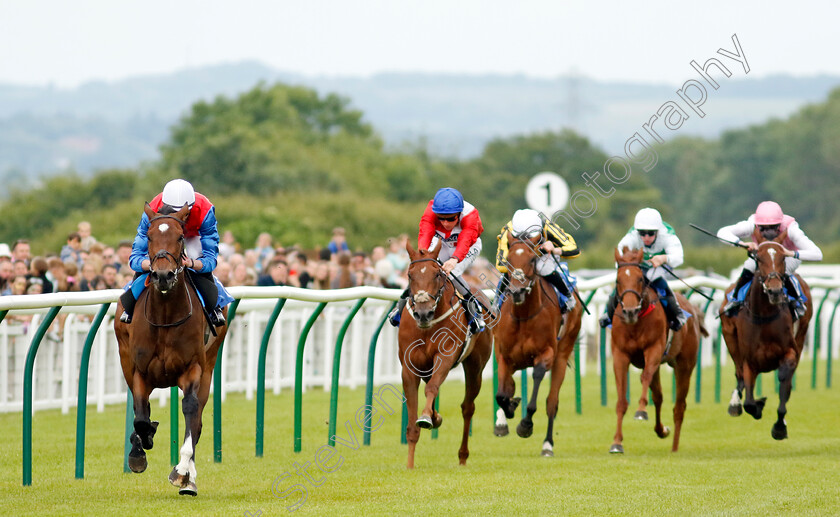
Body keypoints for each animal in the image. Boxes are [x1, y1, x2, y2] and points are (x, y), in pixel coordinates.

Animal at [115, 203, 228, 496]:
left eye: (179, 237)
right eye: (149, 236)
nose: (163, 275)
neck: (165, 315)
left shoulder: (193, 368)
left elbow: (190, 410)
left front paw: (182, 473)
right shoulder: (139, 371)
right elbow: (140, 416)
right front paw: (139, 449)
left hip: (210, 365)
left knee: (197, 418)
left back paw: (189, 478)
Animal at [398, 242, 492, 468]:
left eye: (437, 274)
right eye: (410, 275)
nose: (423, 313)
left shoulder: (445, 356)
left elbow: (432, 388)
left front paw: (426, 417)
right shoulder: (409, 367)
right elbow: (412, 423)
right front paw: (410, 465)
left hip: (476, 366)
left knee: (468, 407)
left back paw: (463, 456)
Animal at [492, 234, 584, 456]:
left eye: (532, 259)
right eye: (508, 260)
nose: (517, 291)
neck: (523, 315)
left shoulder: (546, 353)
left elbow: (537, 378)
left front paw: (525, 425)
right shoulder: (504, 355)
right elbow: (501, 393)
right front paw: (507, 413)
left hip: (562, 354)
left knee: (552, 402)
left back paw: (547, 444)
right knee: (508, 386)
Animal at [608, 246, 704, 452]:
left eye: (640, 279)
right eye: (618, 280)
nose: (629, 311)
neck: (635, 324)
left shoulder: (653, 350)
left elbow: (645, 379)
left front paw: (641, 411)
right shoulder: (620, 355)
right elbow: (621, 401)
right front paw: (617, 442)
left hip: (684, 365)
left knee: (679, 406)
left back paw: (674, 446)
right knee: (659, 396)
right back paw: (662, 430)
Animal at [720, 236, 812, 438]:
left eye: (783, 258)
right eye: (759, 259)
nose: (775, 291)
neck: (763, 316)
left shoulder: (790, 352)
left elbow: (785, 380)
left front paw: (779, 426)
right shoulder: (749, 361)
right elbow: (748, 402)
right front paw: (757, 405)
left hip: (802, 333)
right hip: (730, 338)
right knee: (738, 374)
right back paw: (734, 403)